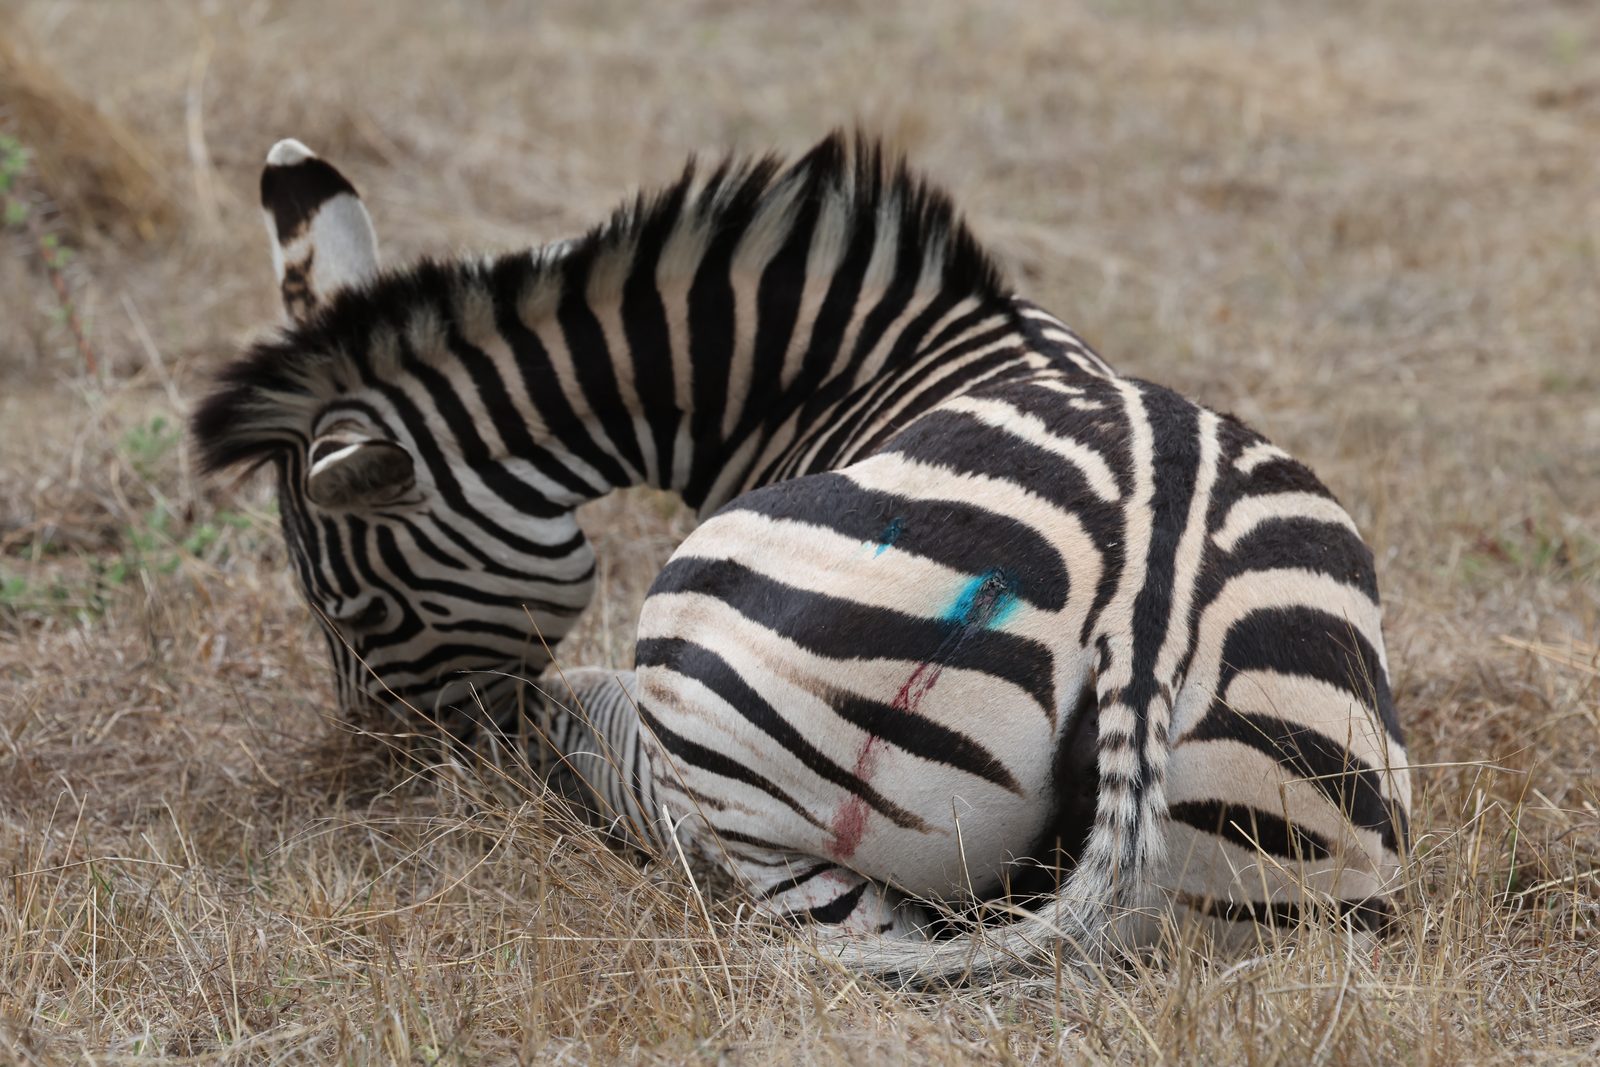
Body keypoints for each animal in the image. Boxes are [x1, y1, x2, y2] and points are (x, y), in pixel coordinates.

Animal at [192, 132, 1411, 985]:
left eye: (356, 612)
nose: (386, 779)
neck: (827, 364)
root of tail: (1144, 604)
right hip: (1290, 901)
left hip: (724, 691)